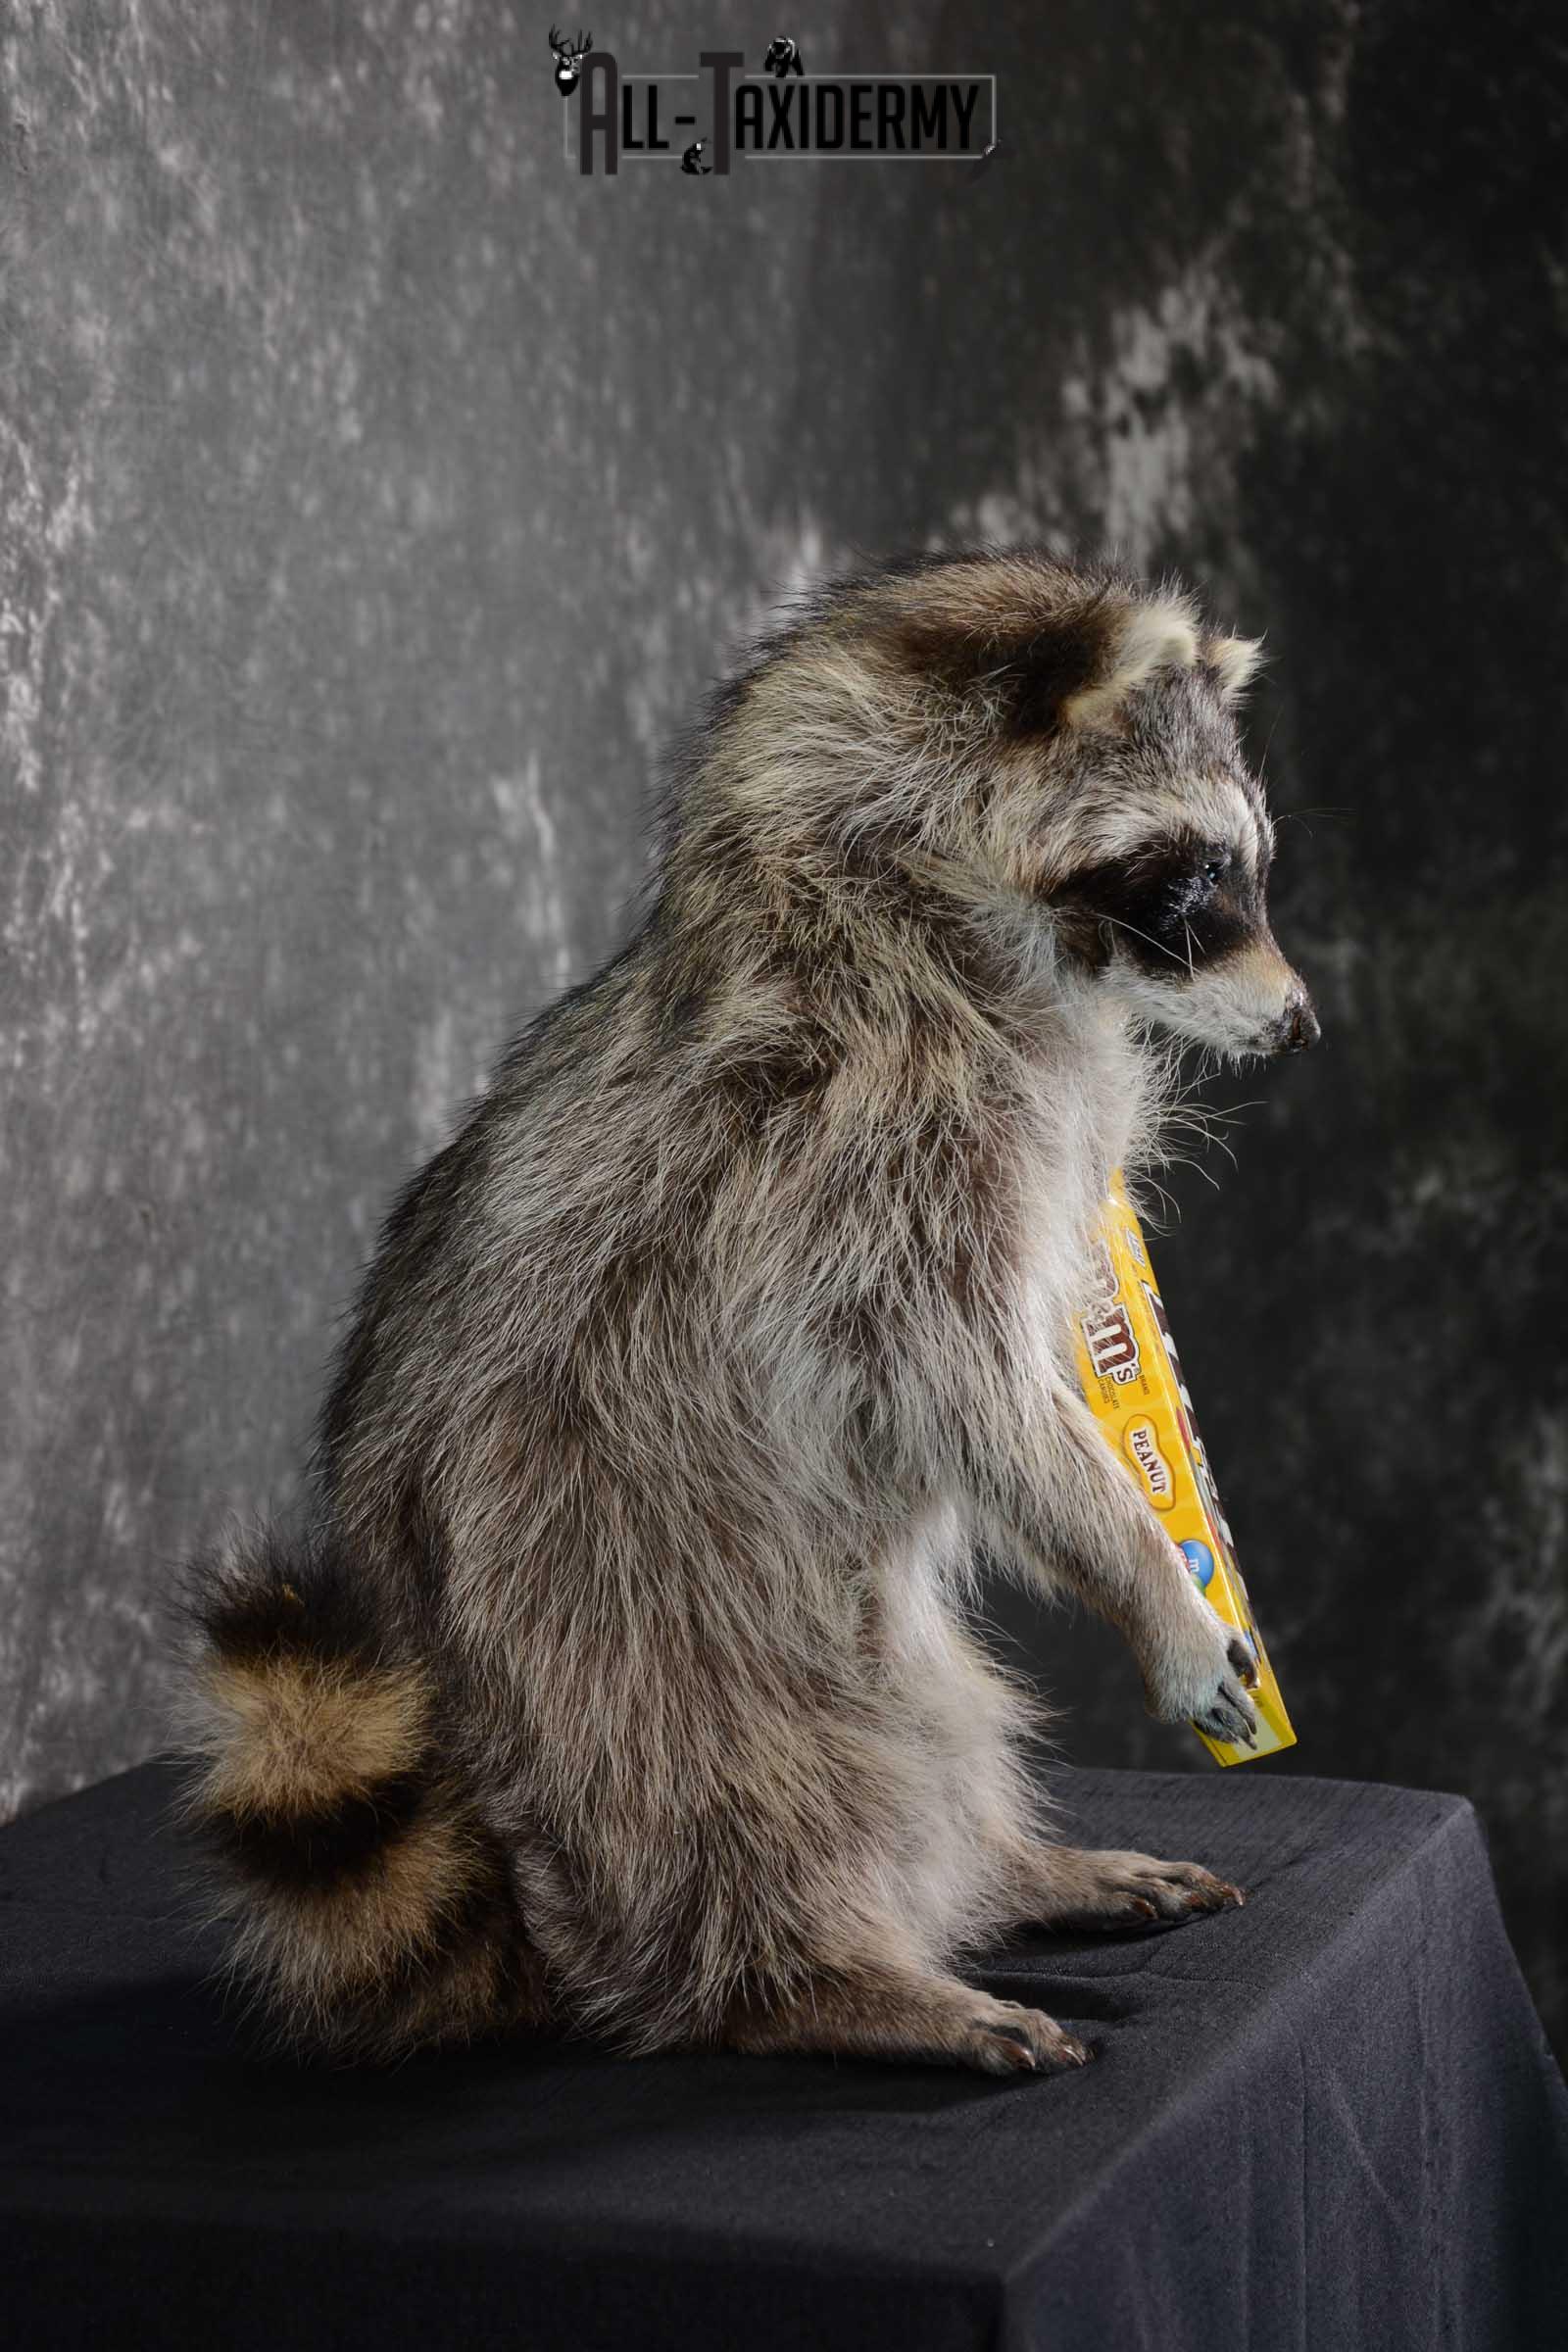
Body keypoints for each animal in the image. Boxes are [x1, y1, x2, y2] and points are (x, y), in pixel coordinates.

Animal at [176, 549, 1317, 2073]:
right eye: (1195, 876)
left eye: (1246, 864)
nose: (1302, 1022)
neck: (897, 891)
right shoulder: (857, 1149)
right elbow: (969, 1394)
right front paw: (1150, 1575)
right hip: (591, 1597)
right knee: (728, 1787)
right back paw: (817, 1976)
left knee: (934, 1719)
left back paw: (1001, 1869)